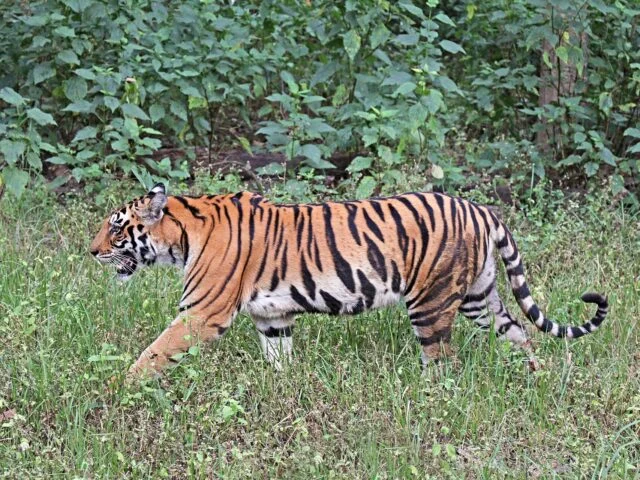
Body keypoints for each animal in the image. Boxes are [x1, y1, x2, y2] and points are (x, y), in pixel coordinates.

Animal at [90, 183, 608, 378]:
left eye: (116, 227)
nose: (91, 251)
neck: (182, 235)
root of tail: (479, 207)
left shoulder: (201, 314)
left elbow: (154, 352)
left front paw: (121, 387)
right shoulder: (272, 317)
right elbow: (279, 359)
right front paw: (281, 392)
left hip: (432, 303)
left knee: (443, 362)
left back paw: (430, 399)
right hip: (479, 297)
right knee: (518, 334)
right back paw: (535, 379)